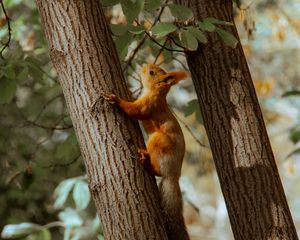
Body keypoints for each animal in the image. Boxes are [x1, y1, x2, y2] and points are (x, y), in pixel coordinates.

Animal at [105, 62, 190, 239]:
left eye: (151, 72)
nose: (144, 65)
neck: (157, 93)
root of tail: (173, 175)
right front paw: (128, 89)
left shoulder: (148, 105)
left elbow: (136, 111)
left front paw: (117, 100)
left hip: (159, 140)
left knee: (156, 170)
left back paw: (146, 160)